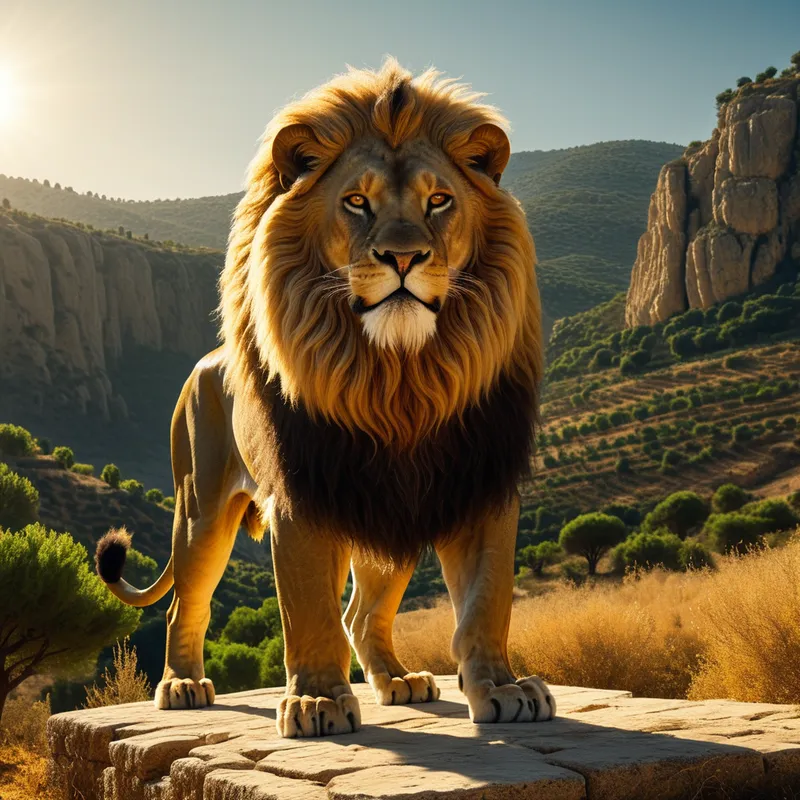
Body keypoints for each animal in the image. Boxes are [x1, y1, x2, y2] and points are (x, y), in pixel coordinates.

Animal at [95, 58, 555, 737]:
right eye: (356, 202)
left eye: (439, 200)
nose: (402, 257)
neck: (399, 377)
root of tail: (204, 362)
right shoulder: (304, 491)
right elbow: (308, 606)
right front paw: (315, 701)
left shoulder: (479, 478)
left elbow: (487, 598)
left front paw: (503, 687)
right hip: (199, 509)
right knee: (186, 603)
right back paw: (182, 685)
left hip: (385, 509)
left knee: (362, 614)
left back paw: (399, 681)